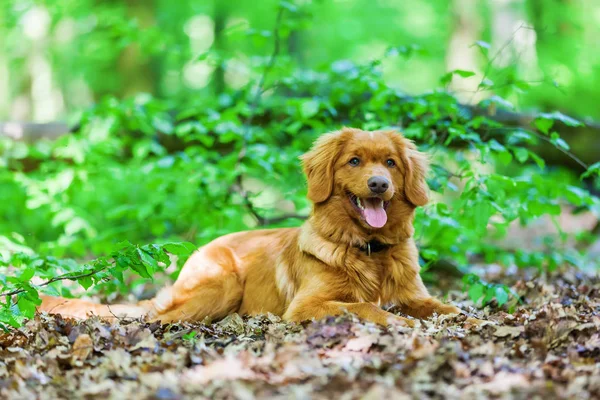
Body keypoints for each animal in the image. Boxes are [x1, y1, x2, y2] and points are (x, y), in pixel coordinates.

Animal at [37, 126, 460, 326]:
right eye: (354, 161)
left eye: (390, 163)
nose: (379, 185)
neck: (369, 249)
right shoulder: (307, 305)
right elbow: (365, 306)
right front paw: (397, 321)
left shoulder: (413, 294)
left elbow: (445, 306)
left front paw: (462, 317)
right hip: (220, 286)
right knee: (156, 319)